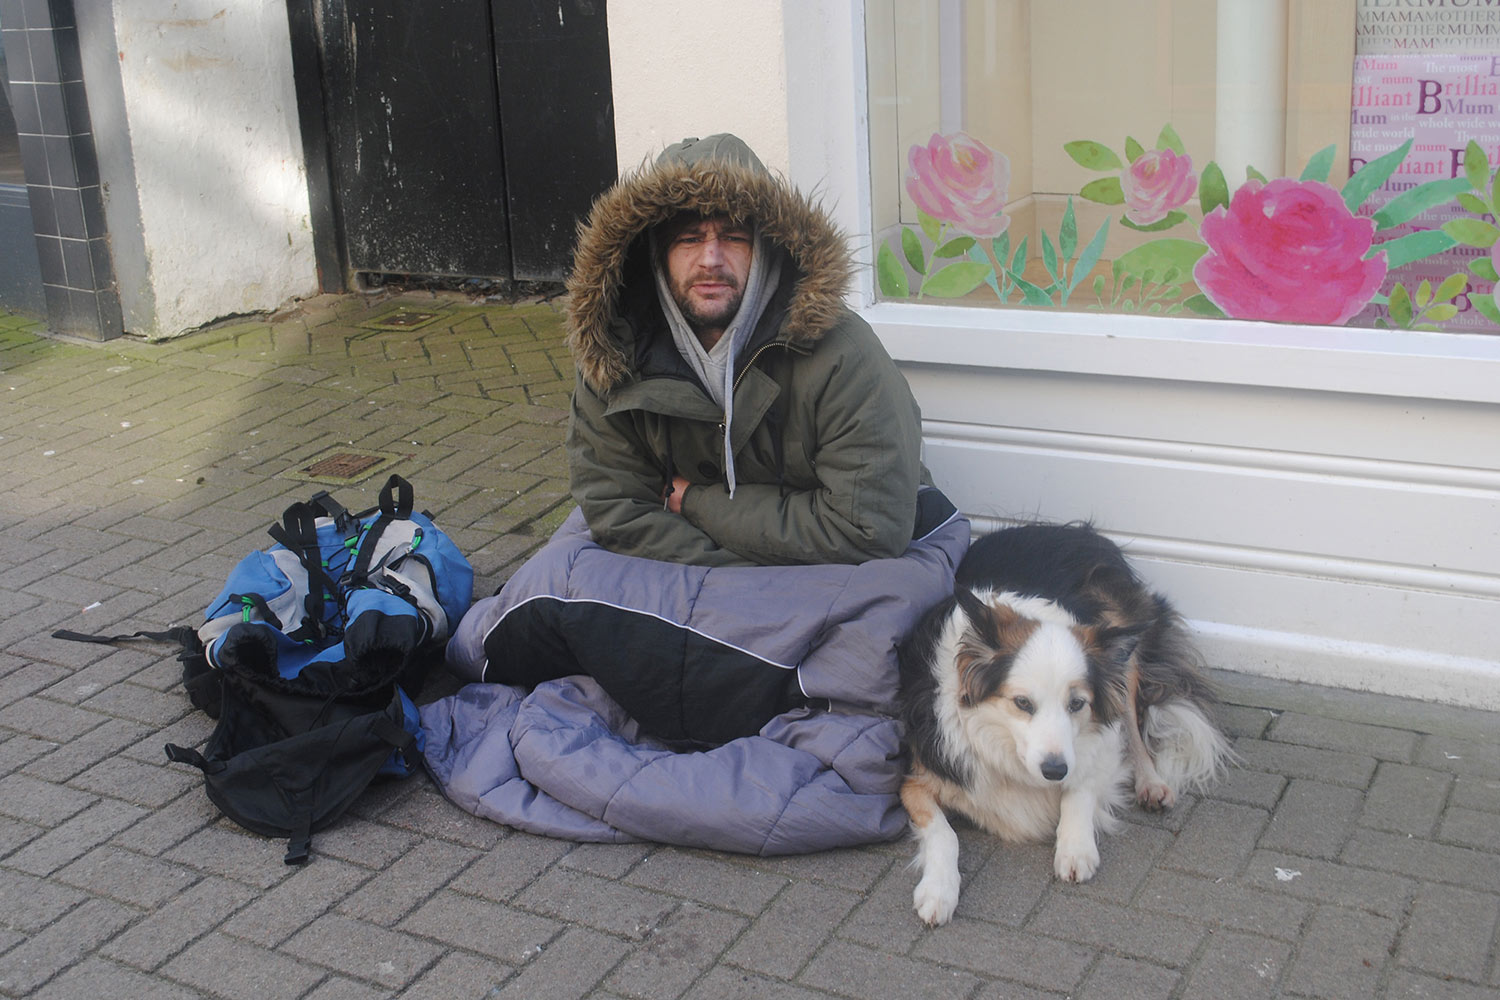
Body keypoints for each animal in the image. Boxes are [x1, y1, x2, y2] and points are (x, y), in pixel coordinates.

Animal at [894, 521, 1224, 929]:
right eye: (1022, 703)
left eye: (1077, 704)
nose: (1054, 770)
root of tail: (1076, 531)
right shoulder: (916, 778)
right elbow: (944, 832)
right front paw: (938, 890)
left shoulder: (1098, 747)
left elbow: (1082, 785)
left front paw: (1075, 846)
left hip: (1121, 644)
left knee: (1132, 723)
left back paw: (1151, 783)